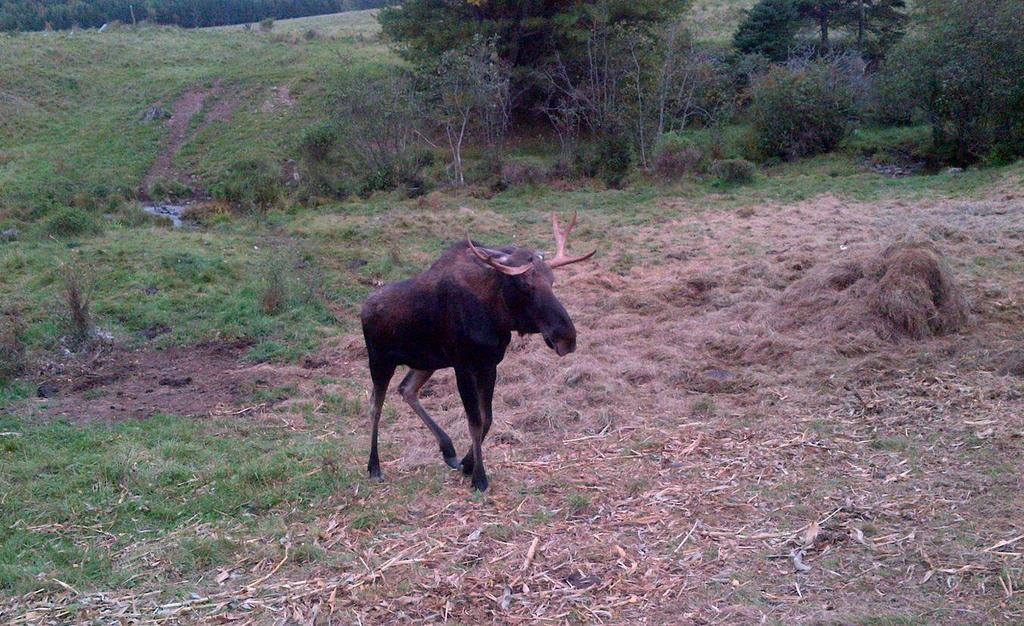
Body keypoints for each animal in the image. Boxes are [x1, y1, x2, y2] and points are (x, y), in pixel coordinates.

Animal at [360, 212, 595, 492]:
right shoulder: (463, 365)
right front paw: (479, 478)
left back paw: (448, 450)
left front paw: (467, 464)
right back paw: (374, 466)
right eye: (525, 285)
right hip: (379, 360)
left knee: (406, 389)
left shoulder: (489, 364)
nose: (567, 337)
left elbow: (487, 417)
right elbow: (474, 421)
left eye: (552, 280)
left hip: (426, 362)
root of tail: (363, 309)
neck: (497, 317)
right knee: (376, 405)